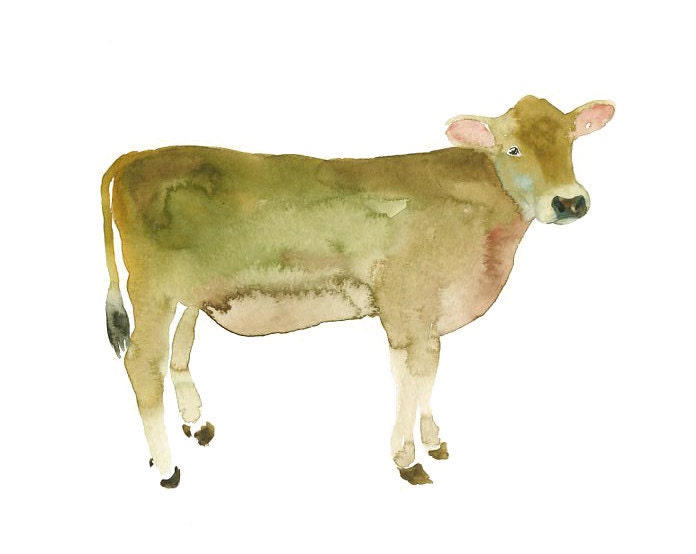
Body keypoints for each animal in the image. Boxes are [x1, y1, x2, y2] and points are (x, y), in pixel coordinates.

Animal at [102, 96, 614, 487]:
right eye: (512, 148)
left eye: (571, 139)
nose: (569, 201)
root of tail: (134, 157)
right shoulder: (403, 306)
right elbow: (410, 376)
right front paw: (406, 458)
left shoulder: (427, 317)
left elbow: (427, 371)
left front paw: (433, 440)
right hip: (152, 291)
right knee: (142, 364)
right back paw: (168, 467)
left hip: (189, 293)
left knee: (180, 349)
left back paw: (194, 423)